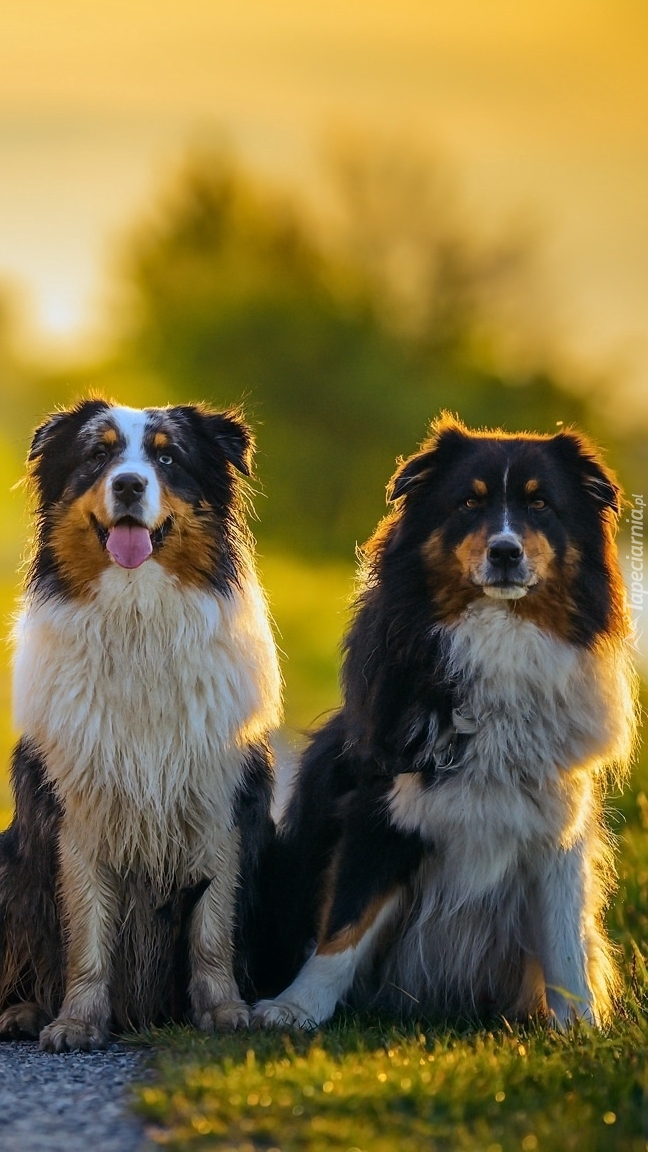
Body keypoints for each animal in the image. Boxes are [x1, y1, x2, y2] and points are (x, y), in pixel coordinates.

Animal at [0, 400, 280, 1050]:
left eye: (168, 457)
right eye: (98, 454)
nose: (129, 484)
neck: (137, 619)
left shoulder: (219, 804)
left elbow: (211, 928)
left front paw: (224, 1010)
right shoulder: (75, 813)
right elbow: (85, 933)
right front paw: (76, 1021)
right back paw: (24, 1012)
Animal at [253, 412, 636, 1027]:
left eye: (540, 504)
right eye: (469, 503)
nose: (505, 552)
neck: (499, 636)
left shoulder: (555, 826)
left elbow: (564, 944)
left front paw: (579, 1029)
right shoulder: (381, 810)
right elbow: (345, 925)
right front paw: (296, 1007)